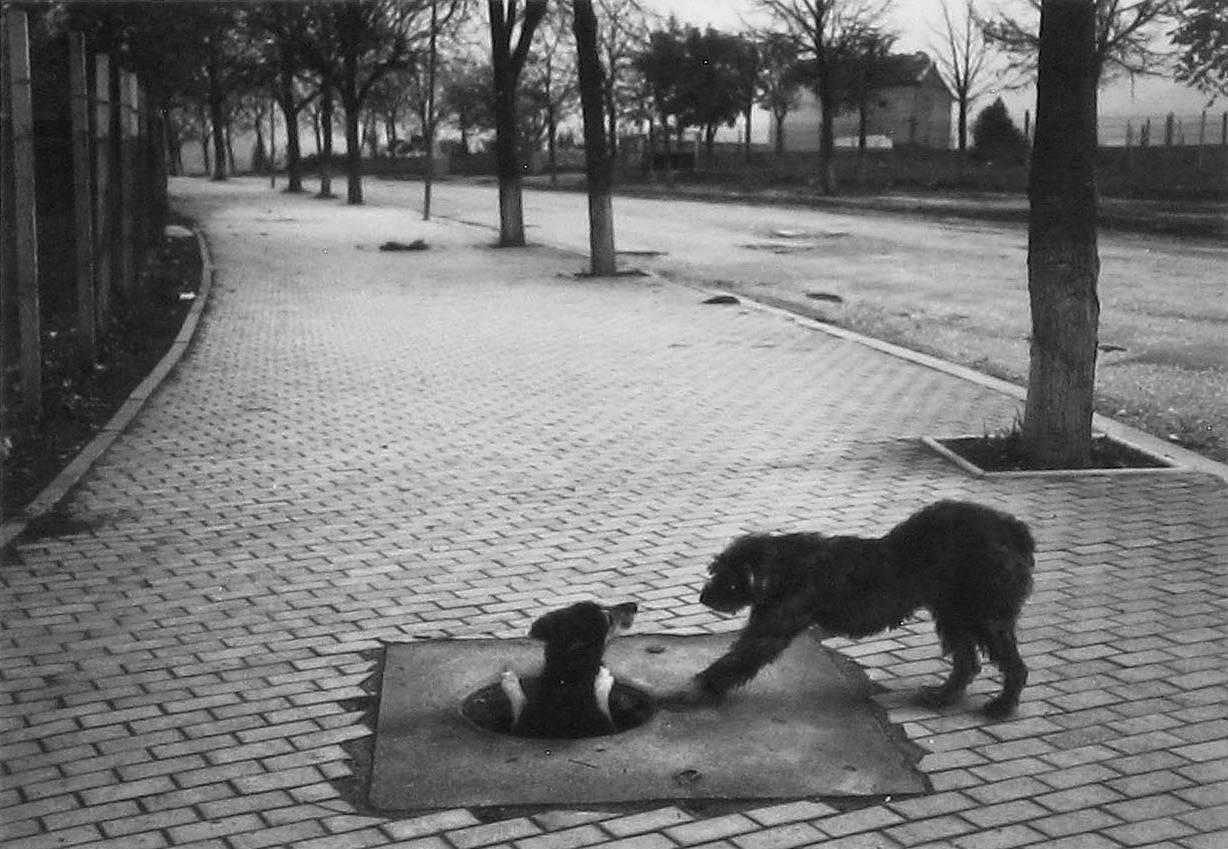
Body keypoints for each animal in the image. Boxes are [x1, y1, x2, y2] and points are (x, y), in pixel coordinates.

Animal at [692, 501, 1036, 722]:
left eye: (725, 577)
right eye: (715, 570)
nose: (703, 597)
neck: (784, 567)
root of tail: (1012, 530)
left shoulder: (771, 629)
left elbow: (739, 658)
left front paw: (703, 687)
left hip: (986, 617)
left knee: (1013, 666)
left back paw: (1003, 705)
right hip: (954, 614)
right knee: (966, 662)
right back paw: (943, 695)